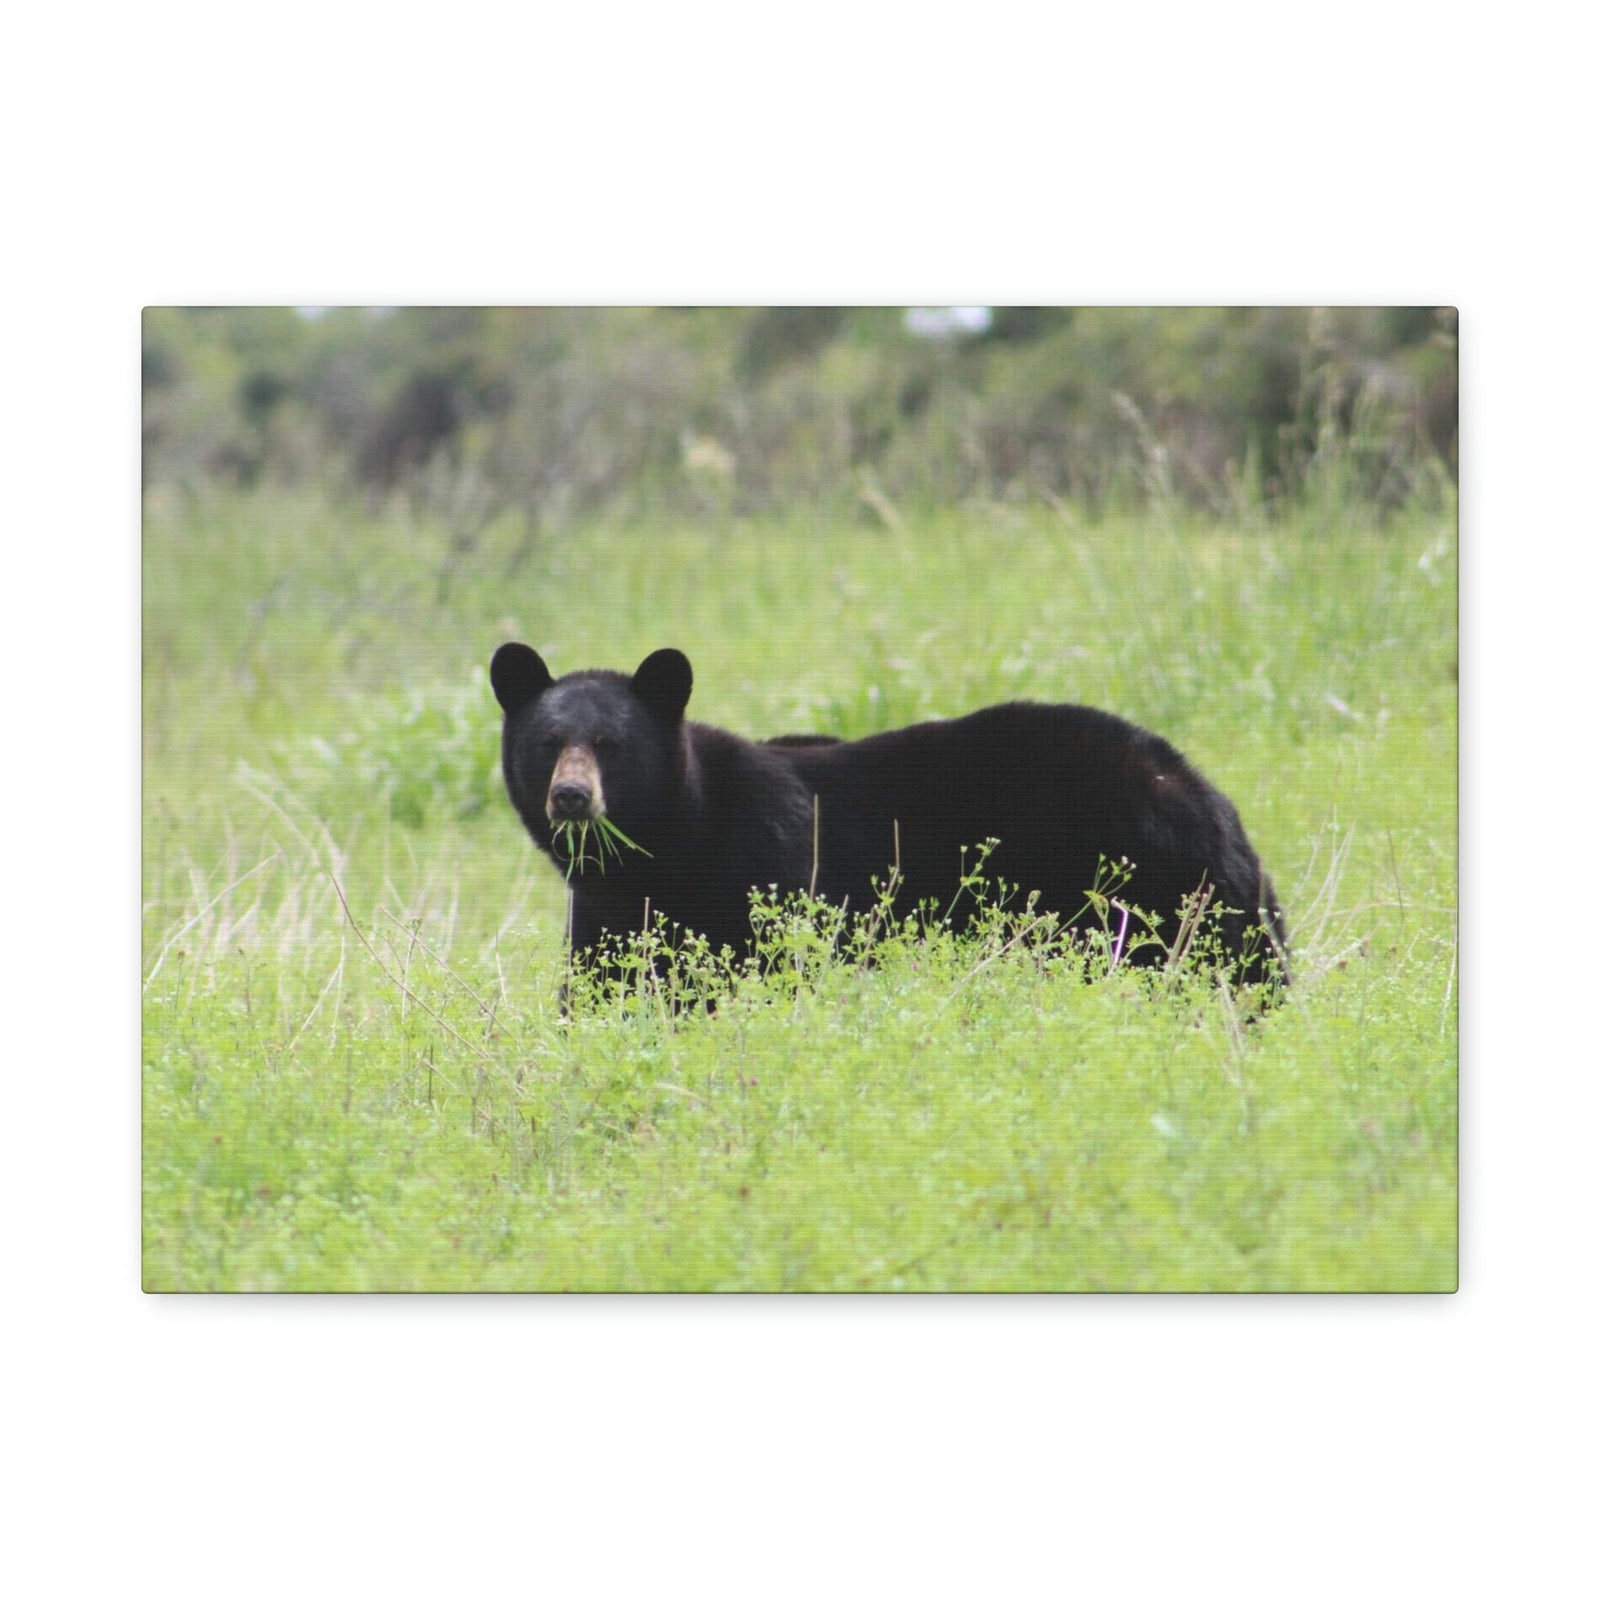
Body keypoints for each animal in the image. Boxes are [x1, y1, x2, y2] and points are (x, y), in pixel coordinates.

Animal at [490, 643, 1288, 988]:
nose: (572, 796)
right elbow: (606, 986)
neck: (672, 845)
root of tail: (1203, 791)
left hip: (1144, 883)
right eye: (549, 742)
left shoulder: (769, 864)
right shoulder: (608, 910)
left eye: (612, 745)